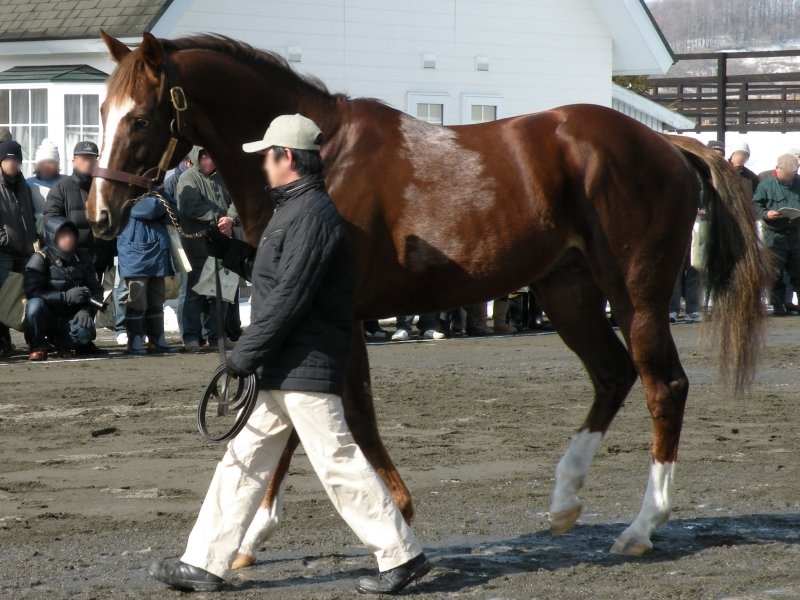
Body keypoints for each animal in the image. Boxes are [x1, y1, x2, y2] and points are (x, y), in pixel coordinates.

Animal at [88, 32, 770, 569]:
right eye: (99, 109)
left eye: (140, 118)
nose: (100, 214)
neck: (323, 161)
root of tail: (666, 145)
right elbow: (305, 417)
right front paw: (254, 537)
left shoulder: (331, 314)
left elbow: (346, 415)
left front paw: (389, 510)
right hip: (568, 294)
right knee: (612, 375)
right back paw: (564, 501)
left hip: (637, 298)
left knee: (664, 386)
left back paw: (641, 526)